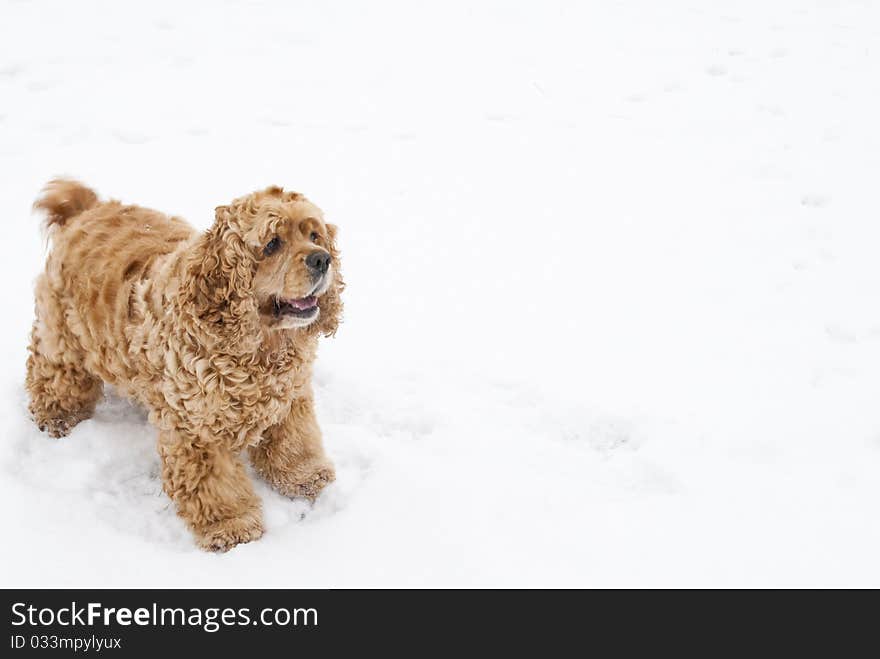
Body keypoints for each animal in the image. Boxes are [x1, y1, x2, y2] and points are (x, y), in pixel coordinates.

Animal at [27, 178, 344, 548]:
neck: (260, 347)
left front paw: (305, 476)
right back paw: (58, 418)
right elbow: (214, 485)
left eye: (314, 236)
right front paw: (231, 525)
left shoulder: (291, 400)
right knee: (54, 376)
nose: (322, 259)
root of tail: (86, 209)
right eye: (272, 244)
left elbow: (294, 441)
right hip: (62, 339)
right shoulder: (197, 429)